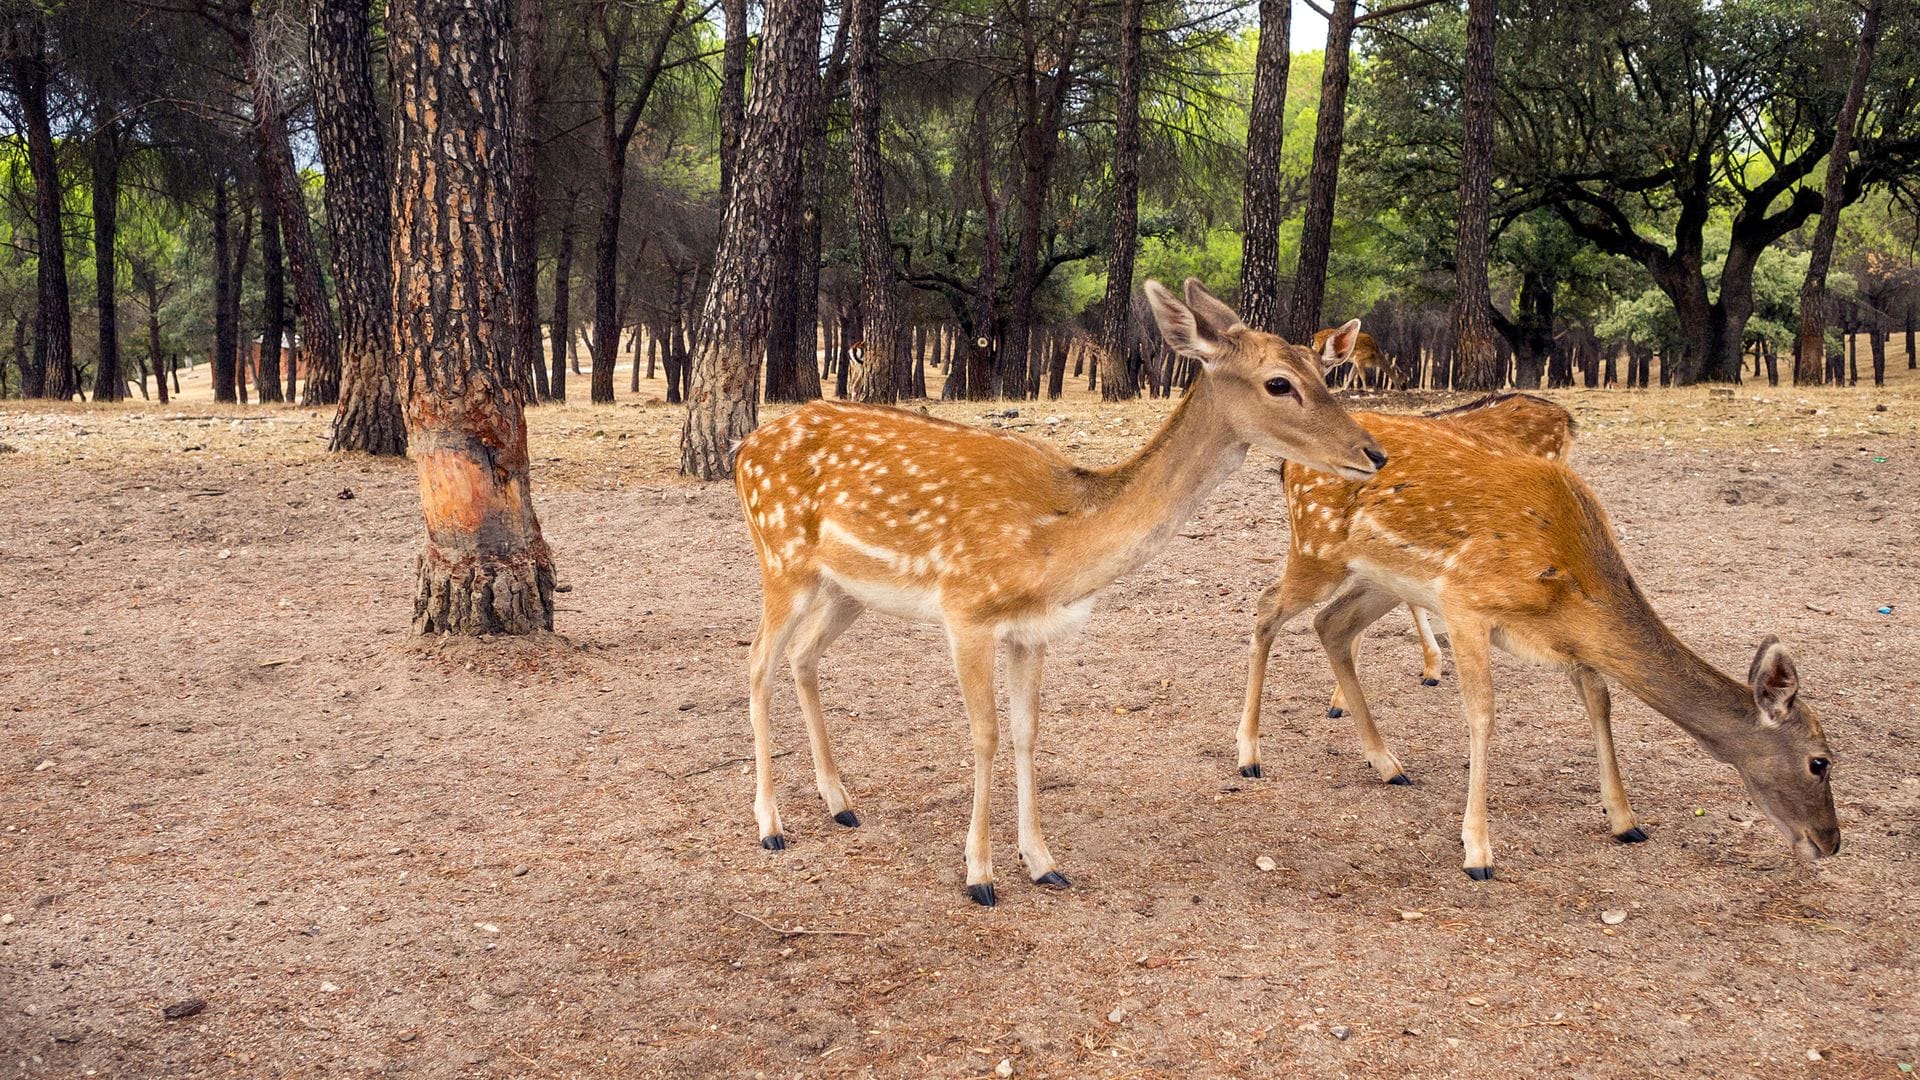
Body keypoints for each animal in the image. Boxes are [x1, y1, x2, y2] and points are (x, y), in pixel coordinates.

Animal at [725, 274, 1390, 899]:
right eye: (1279, 382)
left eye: (1324, 370)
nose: (1374, 453)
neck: (1058, 549)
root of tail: (743, 448)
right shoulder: (965, 610)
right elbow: (986, 734)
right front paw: (980, 875)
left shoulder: (1032, 630)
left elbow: (1027, 732)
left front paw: (1042, 862)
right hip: (780, 558)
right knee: (757, 660)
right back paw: (770, 825)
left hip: (847, 589)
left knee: (803, 656)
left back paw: (840, 803)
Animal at [1236, 407, 1835, 880]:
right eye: (1820, 762)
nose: (1831, 841)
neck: (1572, 580)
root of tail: (1285, 464)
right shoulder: (1466, 603)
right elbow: (1482, 715)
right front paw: (1478, 851)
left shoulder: (1566, 640)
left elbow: (1600, 701)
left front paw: (1625, 821)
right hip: (1316, 548)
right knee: (1265, 607)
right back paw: (1249, 755)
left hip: (1381, 578)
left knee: (1330, 625)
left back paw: (1387, 763)